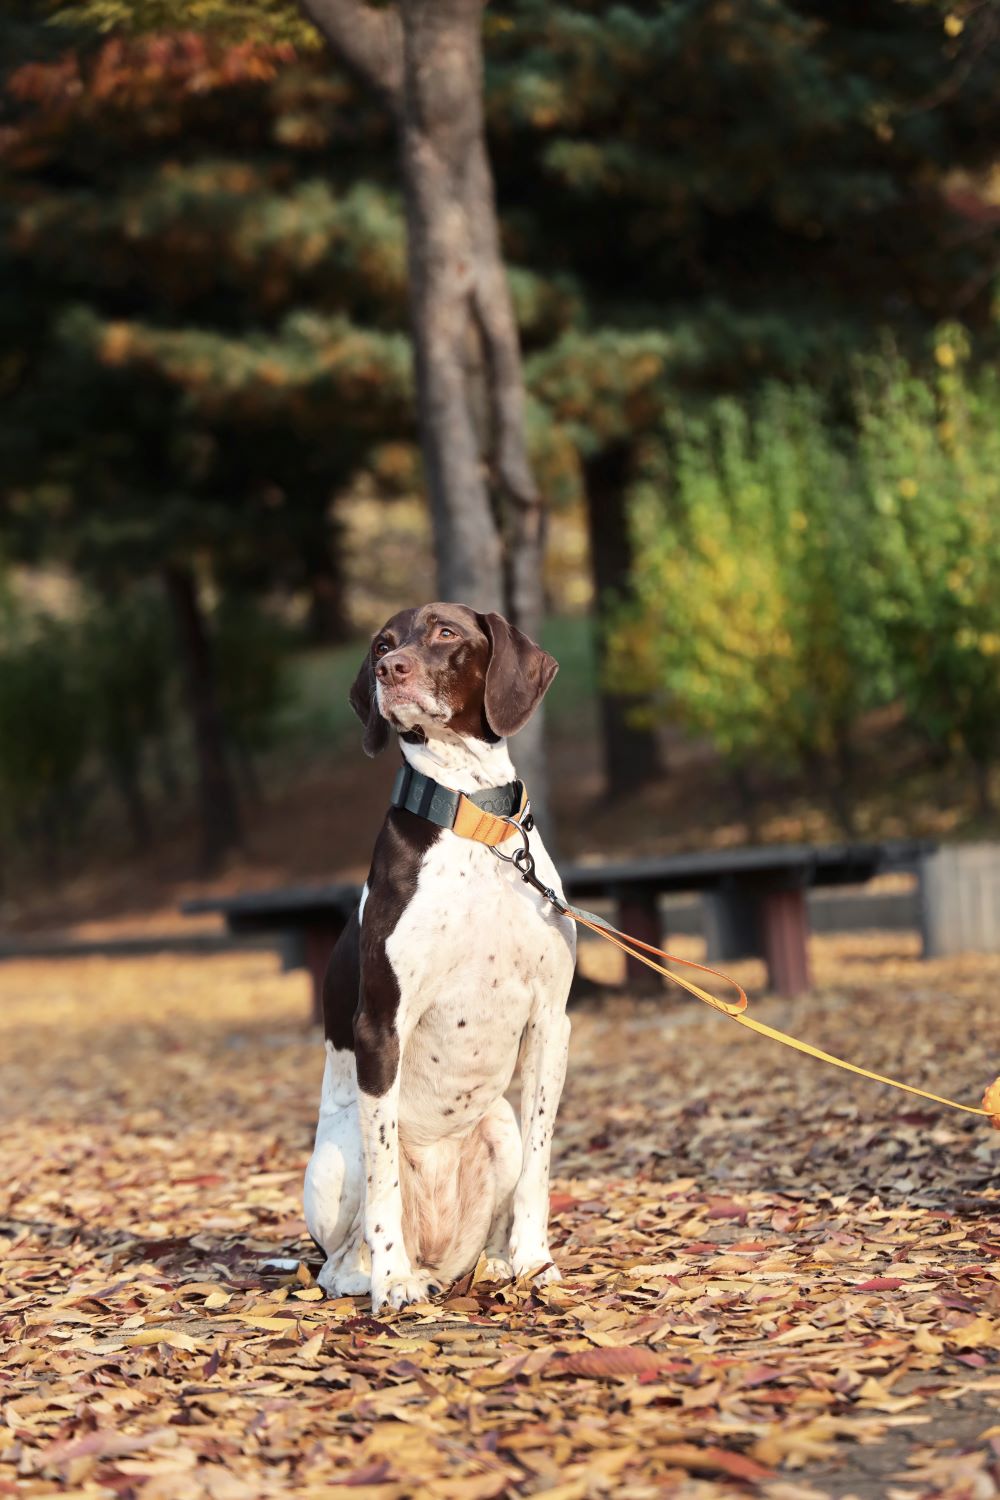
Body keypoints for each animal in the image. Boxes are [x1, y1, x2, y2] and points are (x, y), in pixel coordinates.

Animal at [301, 603, 575, 1308]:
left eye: (446, 632)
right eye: (381, 645)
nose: (389, 671)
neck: (476, 824)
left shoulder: (551, 1022)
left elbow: (541, 1166)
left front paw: (532, 1260)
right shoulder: (381, 1027)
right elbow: (383, 1185)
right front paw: (392, 1282)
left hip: (498, 1125)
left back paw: (493, 1265)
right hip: (339, 1148)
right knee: (339, 1254)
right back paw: (386, 1274)